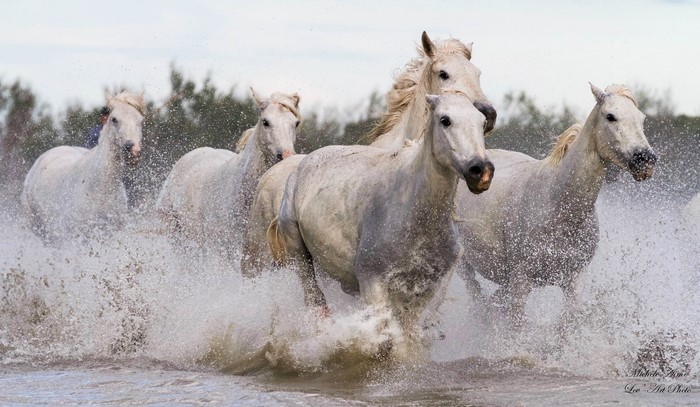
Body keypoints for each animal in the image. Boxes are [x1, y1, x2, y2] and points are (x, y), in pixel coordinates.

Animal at [267, 91, 493, 354]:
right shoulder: (372, 282)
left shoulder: (424, 290)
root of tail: (302, 165)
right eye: (445, 120)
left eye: (481, 122)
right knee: (316, 301)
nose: (481, 170)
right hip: (300, 256)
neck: (414, 214)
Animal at [455, 84, 658, 327]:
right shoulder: (520, 281)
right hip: (464, 266)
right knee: (475, 296)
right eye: (611, 116)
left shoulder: (573, 279)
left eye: (642, 119)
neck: (557, 204)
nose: (645, 159)